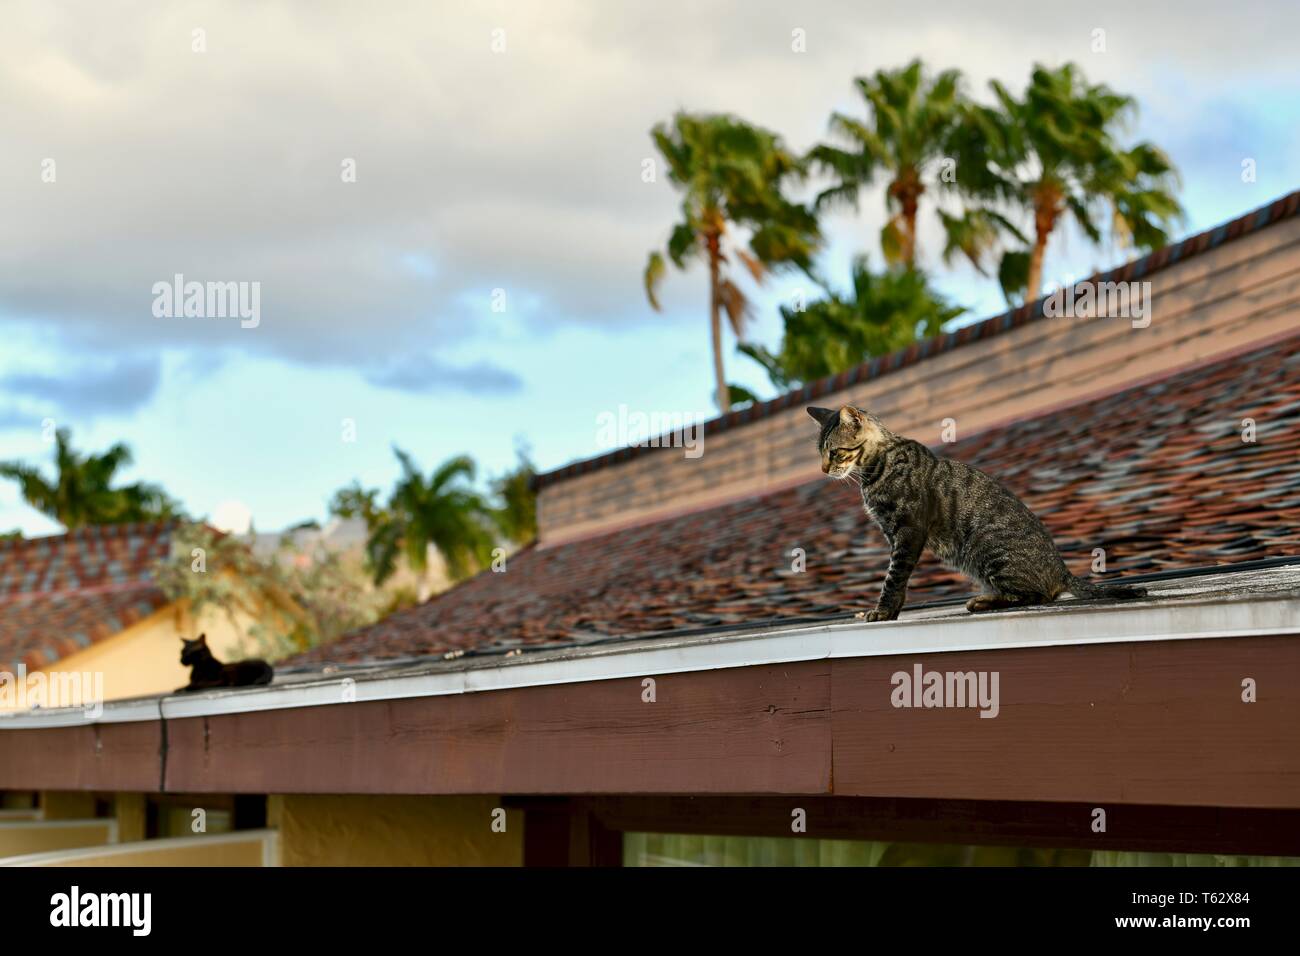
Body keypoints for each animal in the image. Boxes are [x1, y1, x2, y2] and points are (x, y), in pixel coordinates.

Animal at [806, 405, 1154, 624]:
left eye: (835, 452)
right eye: (819, 454)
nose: (823, 469)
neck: (876, 466)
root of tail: (1062, 569)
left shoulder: (906, 532)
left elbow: (894, 578)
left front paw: (883, 611)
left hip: (985, 547)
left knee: (1040, 595)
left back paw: (984, 601)